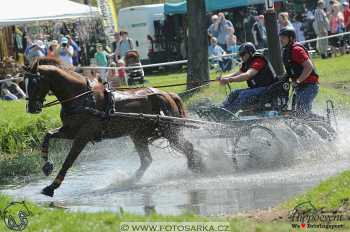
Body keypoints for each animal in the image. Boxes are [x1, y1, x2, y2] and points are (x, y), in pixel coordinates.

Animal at [25, 57, 198, 197]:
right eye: (24, 83)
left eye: (34, 83)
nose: (31, 108)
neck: (82, 98)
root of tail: (168, 94)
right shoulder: (70, 131)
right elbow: (47, 134)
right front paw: (47, 166)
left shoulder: (83, 135)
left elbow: (68, 161)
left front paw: (52, 187)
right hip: (139, 135)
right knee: (147, 160)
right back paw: (129, 181)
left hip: (169, 131)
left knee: (188, 147)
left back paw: (196, 167)